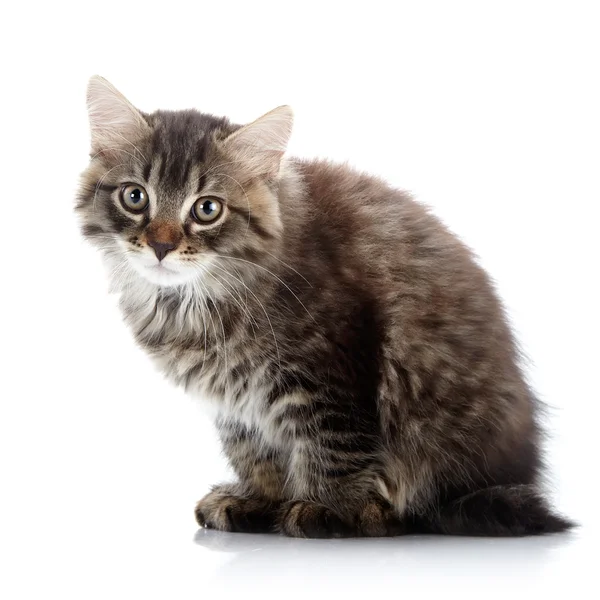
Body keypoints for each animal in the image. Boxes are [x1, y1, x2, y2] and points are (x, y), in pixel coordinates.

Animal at [76, 76, 572, 540]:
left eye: (207, 209)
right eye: (135, 197)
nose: (161, 245)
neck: (191, 302)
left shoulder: (332, 370)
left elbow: (333, 446)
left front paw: (328, 507)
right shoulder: (239, 407)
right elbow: (256, 455)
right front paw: (260, 501)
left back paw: (378, 514)